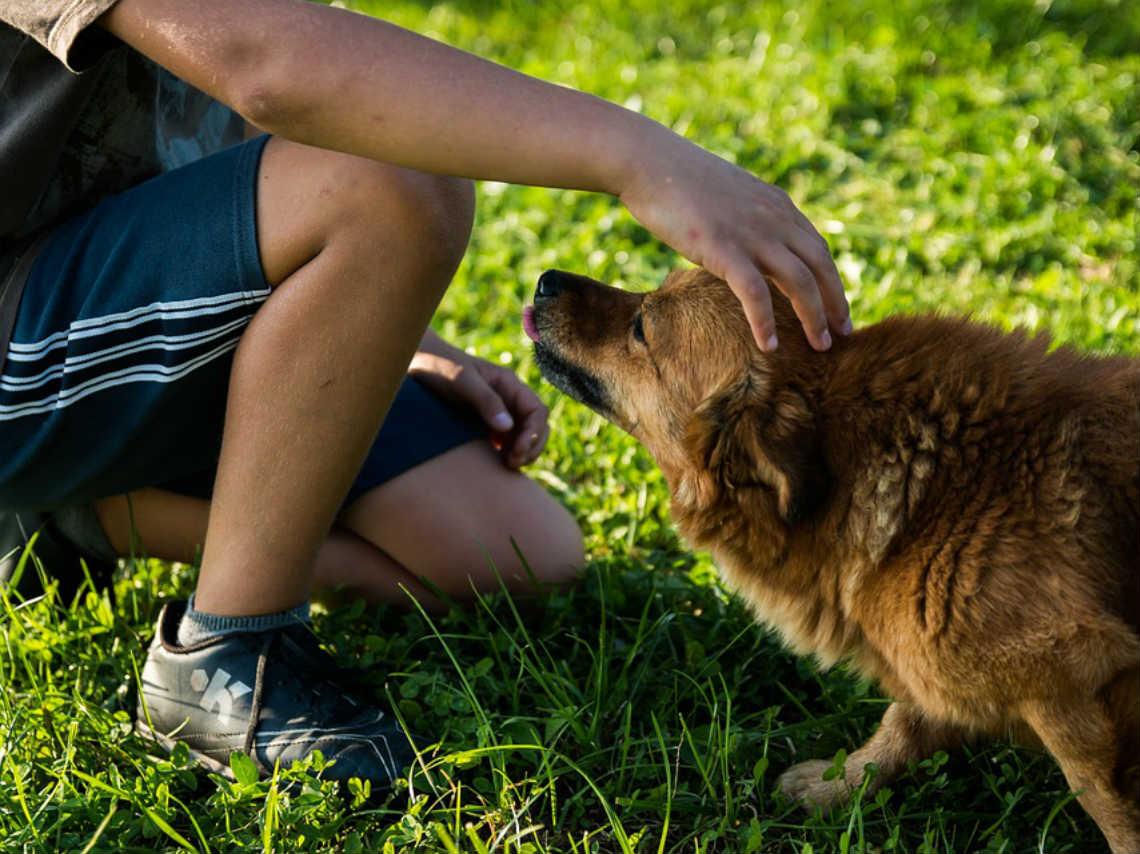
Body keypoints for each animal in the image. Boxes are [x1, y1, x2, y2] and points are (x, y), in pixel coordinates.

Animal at [524, 267, 1140, 852]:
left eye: (641, 328)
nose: (546, 280)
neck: (934, 489)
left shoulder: (1070, 678)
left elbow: (1104, 801)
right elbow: (904, 722)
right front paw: (841, 785)